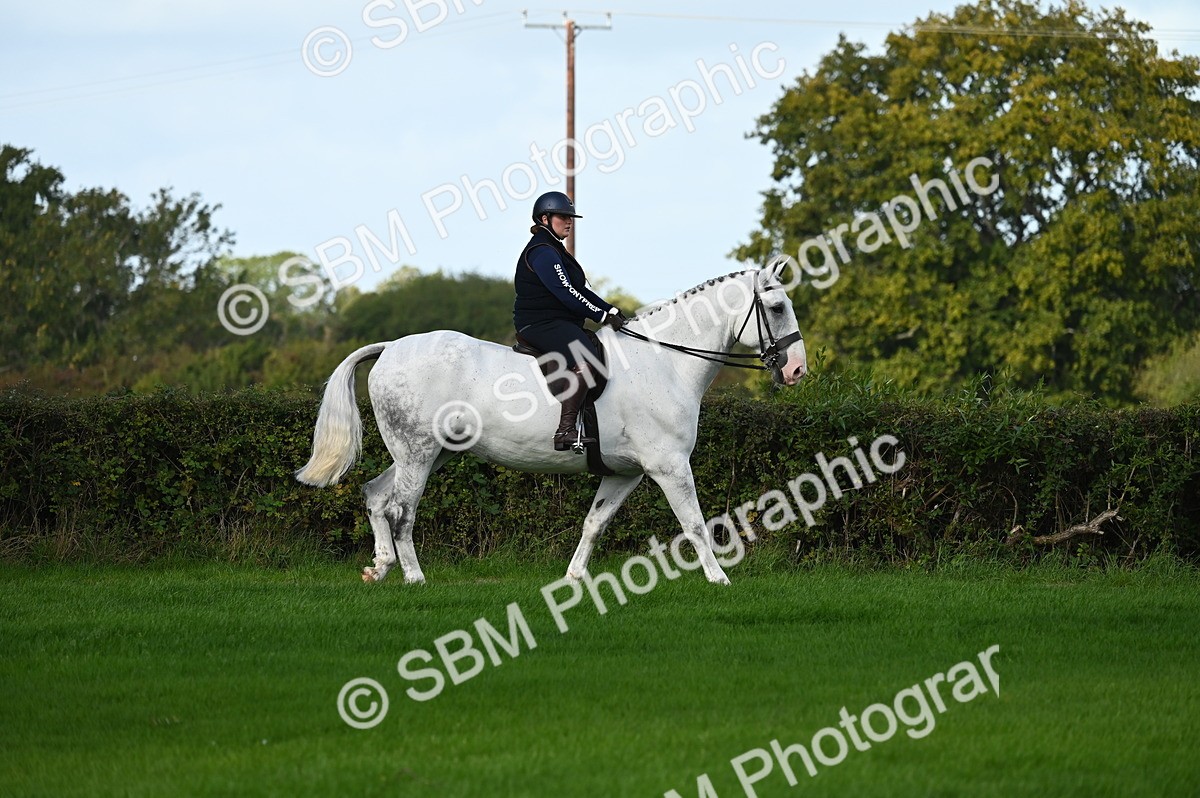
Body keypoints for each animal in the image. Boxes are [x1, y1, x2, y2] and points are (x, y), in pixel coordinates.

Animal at [294, 260, 807, 585]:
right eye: (777, 307)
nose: (797, 370)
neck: (664, 361)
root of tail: (391, 347)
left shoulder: (625, 473)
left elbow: (594, 523)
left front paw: (575, 577)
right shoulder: (670, 467)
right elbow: (696, 523)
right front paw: (719, 578)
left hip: (425, 454)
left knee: (376, 497)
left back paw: (379, 568)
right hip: (418, 454)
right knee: (402, 511)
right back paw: (414, 577)